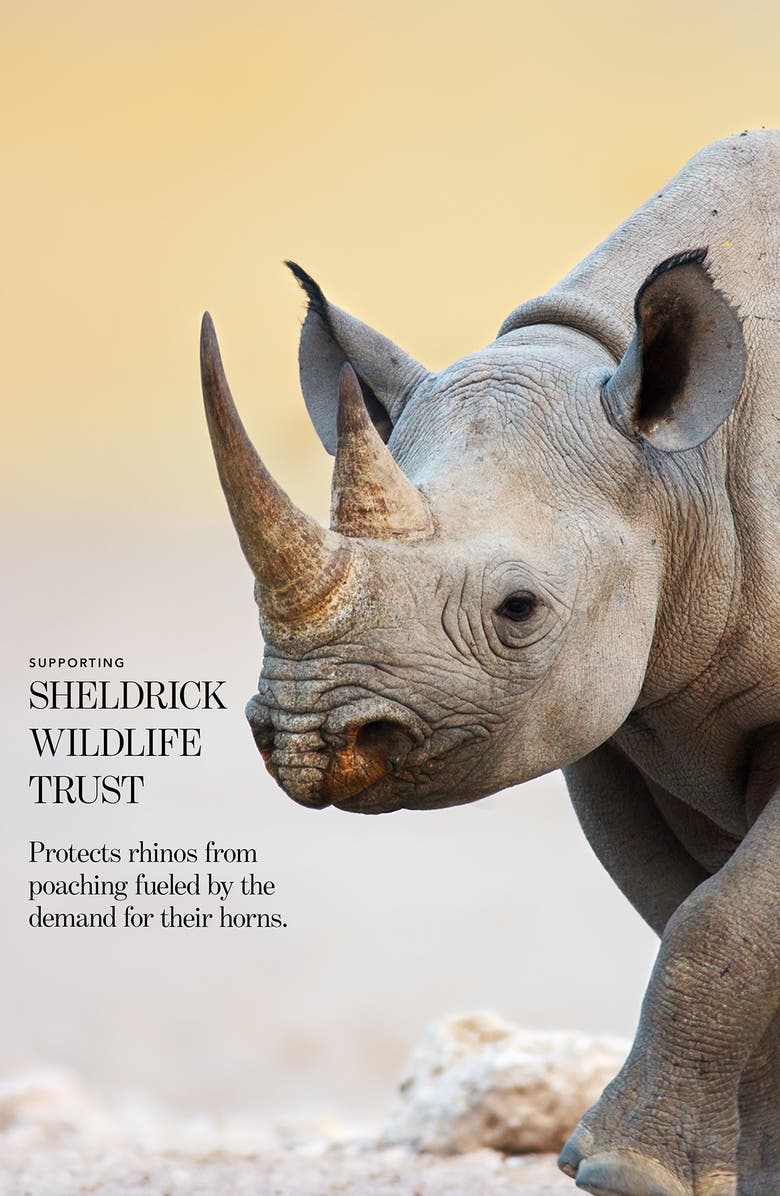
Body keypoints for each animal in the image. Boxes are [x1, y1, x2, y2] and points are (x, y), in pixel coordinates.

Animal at [200, 129, 780, 1196]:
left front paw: (625, 1170)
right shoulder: (619, 705)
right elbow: (679, 907)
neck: (685, 471)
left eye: (518, 610)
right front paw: (731, 1173)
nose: (310, 737)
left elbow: (722, 922)